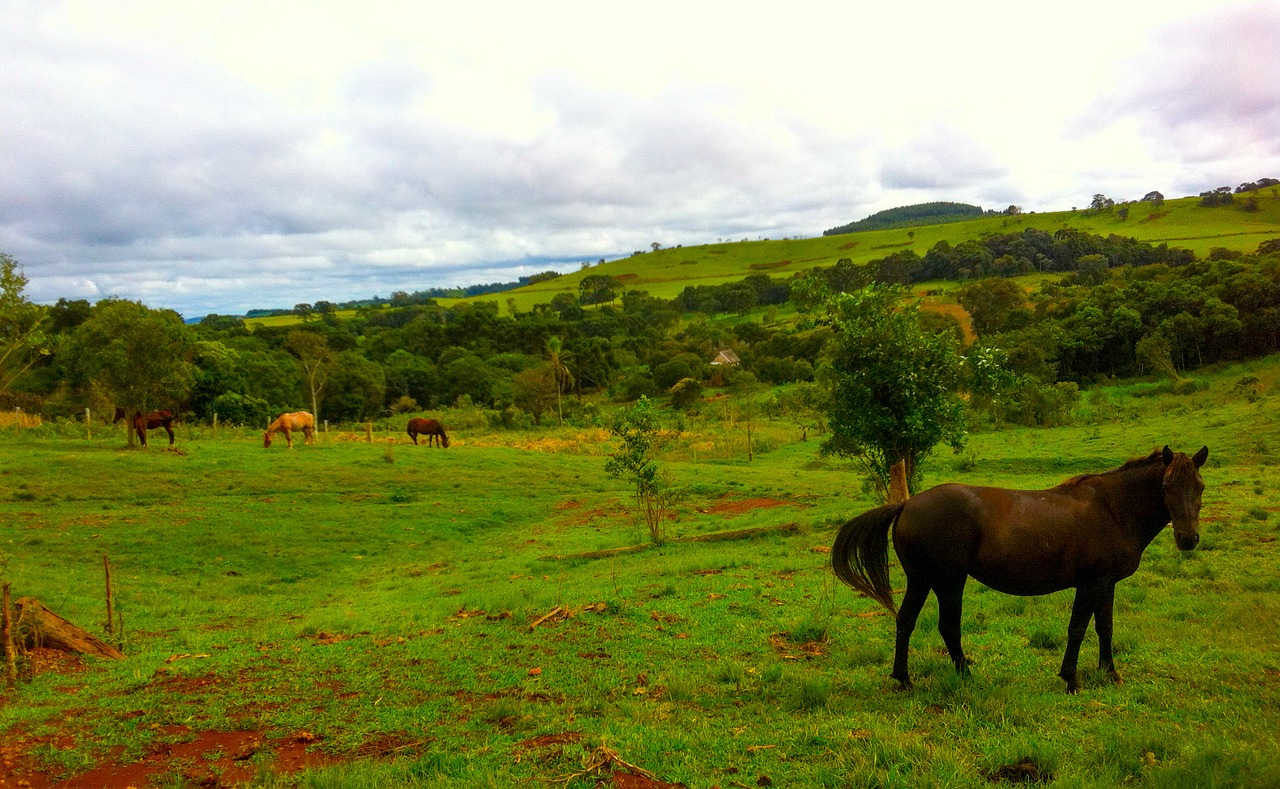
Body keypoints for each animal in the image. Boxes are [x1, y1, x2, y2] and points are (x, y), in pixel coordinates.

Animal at [829, 445, 1208, 691]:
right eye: (1167, 485)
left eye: (1200, 487)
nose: (1188, 539)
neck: (1112, 509)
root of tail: (907, 504)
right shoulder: (1090, 583)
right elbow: (1077, 629)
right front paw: (1071, 679)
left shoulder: (1107, 583)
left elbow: (1105, 628)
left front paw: (1110, 674)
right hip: (947, 581)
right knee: (947, 626)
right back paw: (963, 676)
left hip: (923, 580)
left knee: (906, 621)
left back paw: (904, 679)